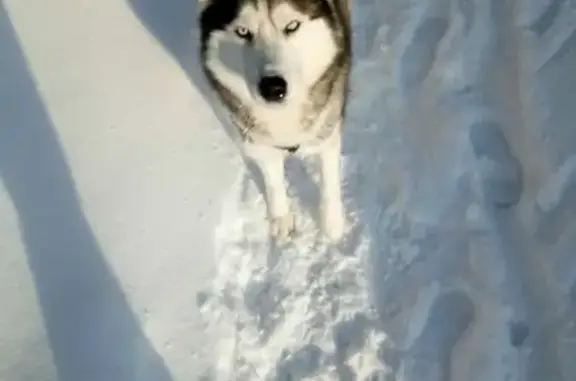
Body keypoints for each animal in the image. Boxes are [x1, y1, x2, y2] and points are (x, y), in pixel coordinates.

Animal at [198, 0, 352, 240]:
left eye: (292, 26)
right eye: (243, 32)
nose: (272, 88)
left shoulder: (329, 127)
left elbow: (329, 180)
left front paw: (332, 224)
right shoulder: (259, 141)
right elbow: (273, 181)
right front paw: (280, 217)